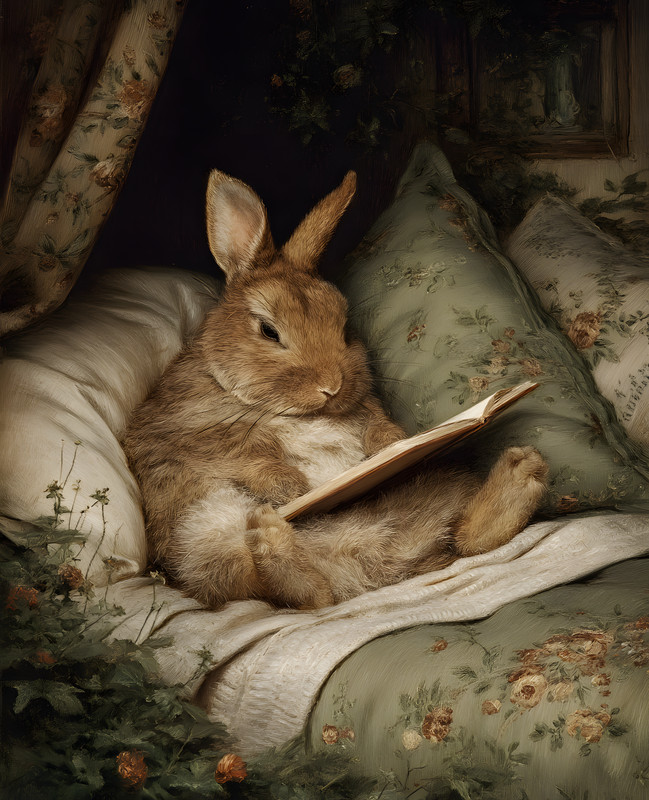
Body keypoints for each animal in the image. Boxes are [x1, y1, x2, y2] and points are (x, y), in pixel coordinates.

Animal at [122, 168, 549, 610]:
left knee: (461, 540)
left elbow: (376, 426)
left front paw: (389, 445)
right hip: (204, 536)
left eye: (344, 328)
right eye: (269, 331)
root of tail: (362, 569)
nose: (331, 386)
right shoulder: (181, 432)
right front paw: (290, 486)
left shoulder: (367, 410)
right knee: (292, 593)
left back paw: (522, 473)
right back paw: (271, 535)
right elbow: (241, 453)